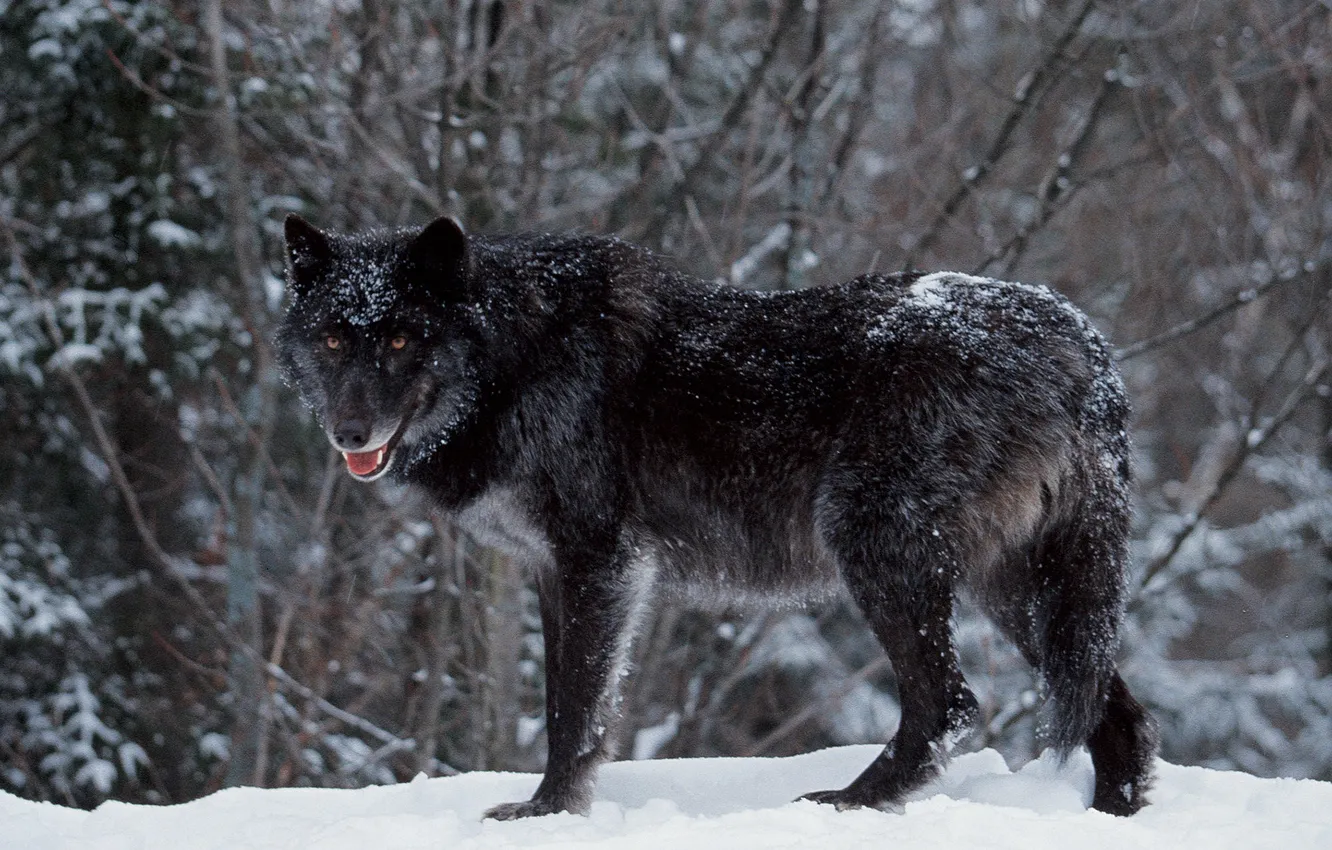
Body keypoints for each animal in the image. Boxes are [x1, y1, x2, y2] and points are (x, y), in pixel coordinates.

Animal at [276, 214, 1158, 819]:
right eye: (334, 340)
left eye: (399, 339)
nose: (349, 433)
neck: (516, 356)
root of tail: (1079, 338)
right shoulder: (553, 570)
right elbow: (571, 701)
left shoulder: (599, 561)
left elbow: (575, 710)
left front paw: (549, 813)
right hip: (1015, 588)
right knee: (1118, 715)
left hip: (880, 550)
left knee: (951, 704)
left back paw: (848, 804)